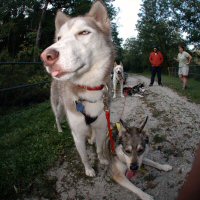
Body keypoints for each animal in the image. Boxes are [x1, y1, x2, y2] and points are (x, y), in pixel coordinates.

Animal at [40, 1, 114, 177]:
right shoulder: (77, 133)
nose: (46, 56)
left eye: (84, 32)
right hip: (58, 107)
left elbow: (100, 147)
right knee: (57, 119)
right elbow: (84, 156)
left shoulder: (102, 126)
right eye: (59, 38)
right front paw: (89, 169)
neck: (89, 88)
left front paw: (102, 159)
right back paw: (60, 130)